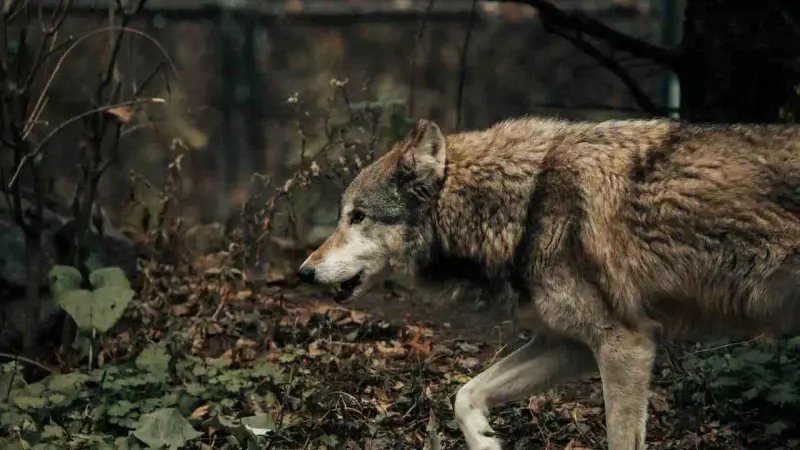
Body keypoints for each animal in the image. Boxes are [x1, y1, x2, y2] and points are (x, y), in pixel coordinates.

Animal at [296, 116, 800, 450]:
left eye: (357, 216)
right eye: (344, 215)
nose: (304, 271)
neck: (526, 204)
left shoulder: (626, 346)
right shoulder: (568, 345)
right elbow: (465, 394)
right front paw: (486, 442)